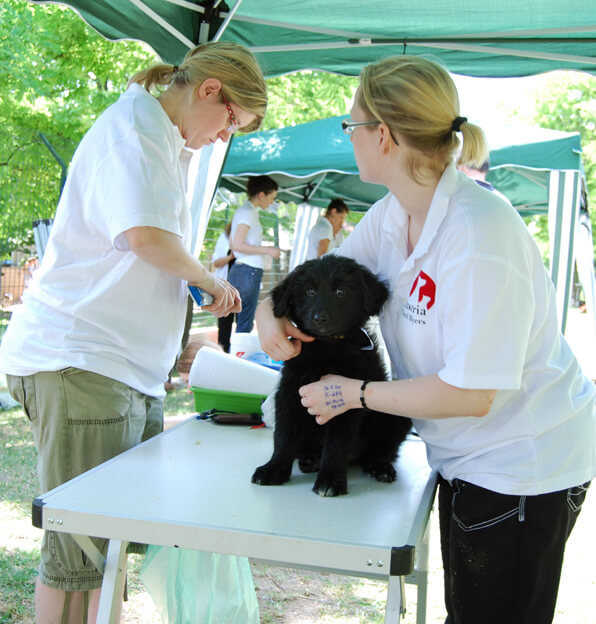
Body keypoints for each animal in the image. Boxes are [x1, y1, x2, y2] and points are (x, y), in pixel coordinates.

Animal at [251, 254, 412, 496]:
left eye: (340, 291)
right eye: (310, 291)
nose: (320, 319)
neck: (326, 348)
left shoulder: (342, 402)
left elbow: (336, 443)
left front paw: (330, 480)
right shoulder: (289, 393)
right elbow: (283, 436)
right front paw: (274, 469)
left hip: (396, 415)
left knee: (384, 448)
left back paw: (380, 466)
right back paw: (310, 460)